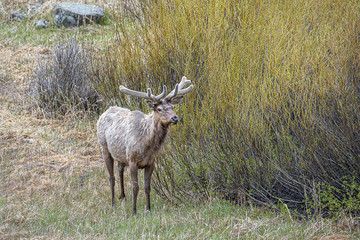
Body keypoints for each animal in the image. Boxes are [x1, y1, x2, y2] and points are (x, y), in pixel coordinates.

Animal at [97, 76, 194, 214]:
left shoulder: (151, 162)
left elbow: (147, 187)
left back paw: (122, 196)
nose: (175, 118)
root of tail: (106, 111)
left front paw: (148, 209)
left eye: (172, 107)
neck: (147, 146)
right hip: (104, 146)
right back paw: (113, 203)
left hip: (121, 155)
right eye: (159, 109)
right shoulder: (132, 159)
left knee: (120, 169)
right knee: (111, 177)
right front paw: (134, 211)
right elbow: (135, 187)